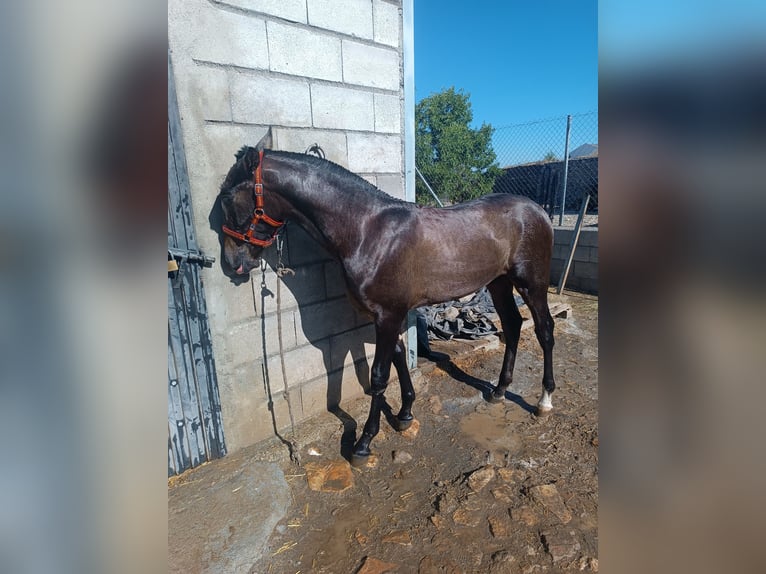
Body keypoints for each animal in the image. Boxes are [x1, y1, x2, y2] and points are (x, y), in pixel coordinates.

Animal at [216, 129, 560, 464]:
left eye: (227, 197)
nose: (232, 263)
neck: (367, 231)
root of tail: (537, 210)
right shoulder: (384, 315)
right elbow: (397, 356)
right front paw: (405, 414)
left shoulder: (388, 315)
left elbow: (378, 377)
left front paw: (363, 443)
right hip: (499, 283)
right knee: (513, 326)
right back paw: (500, 390)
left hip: (531, 284)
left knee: (544, 330)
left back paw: (544, 402)